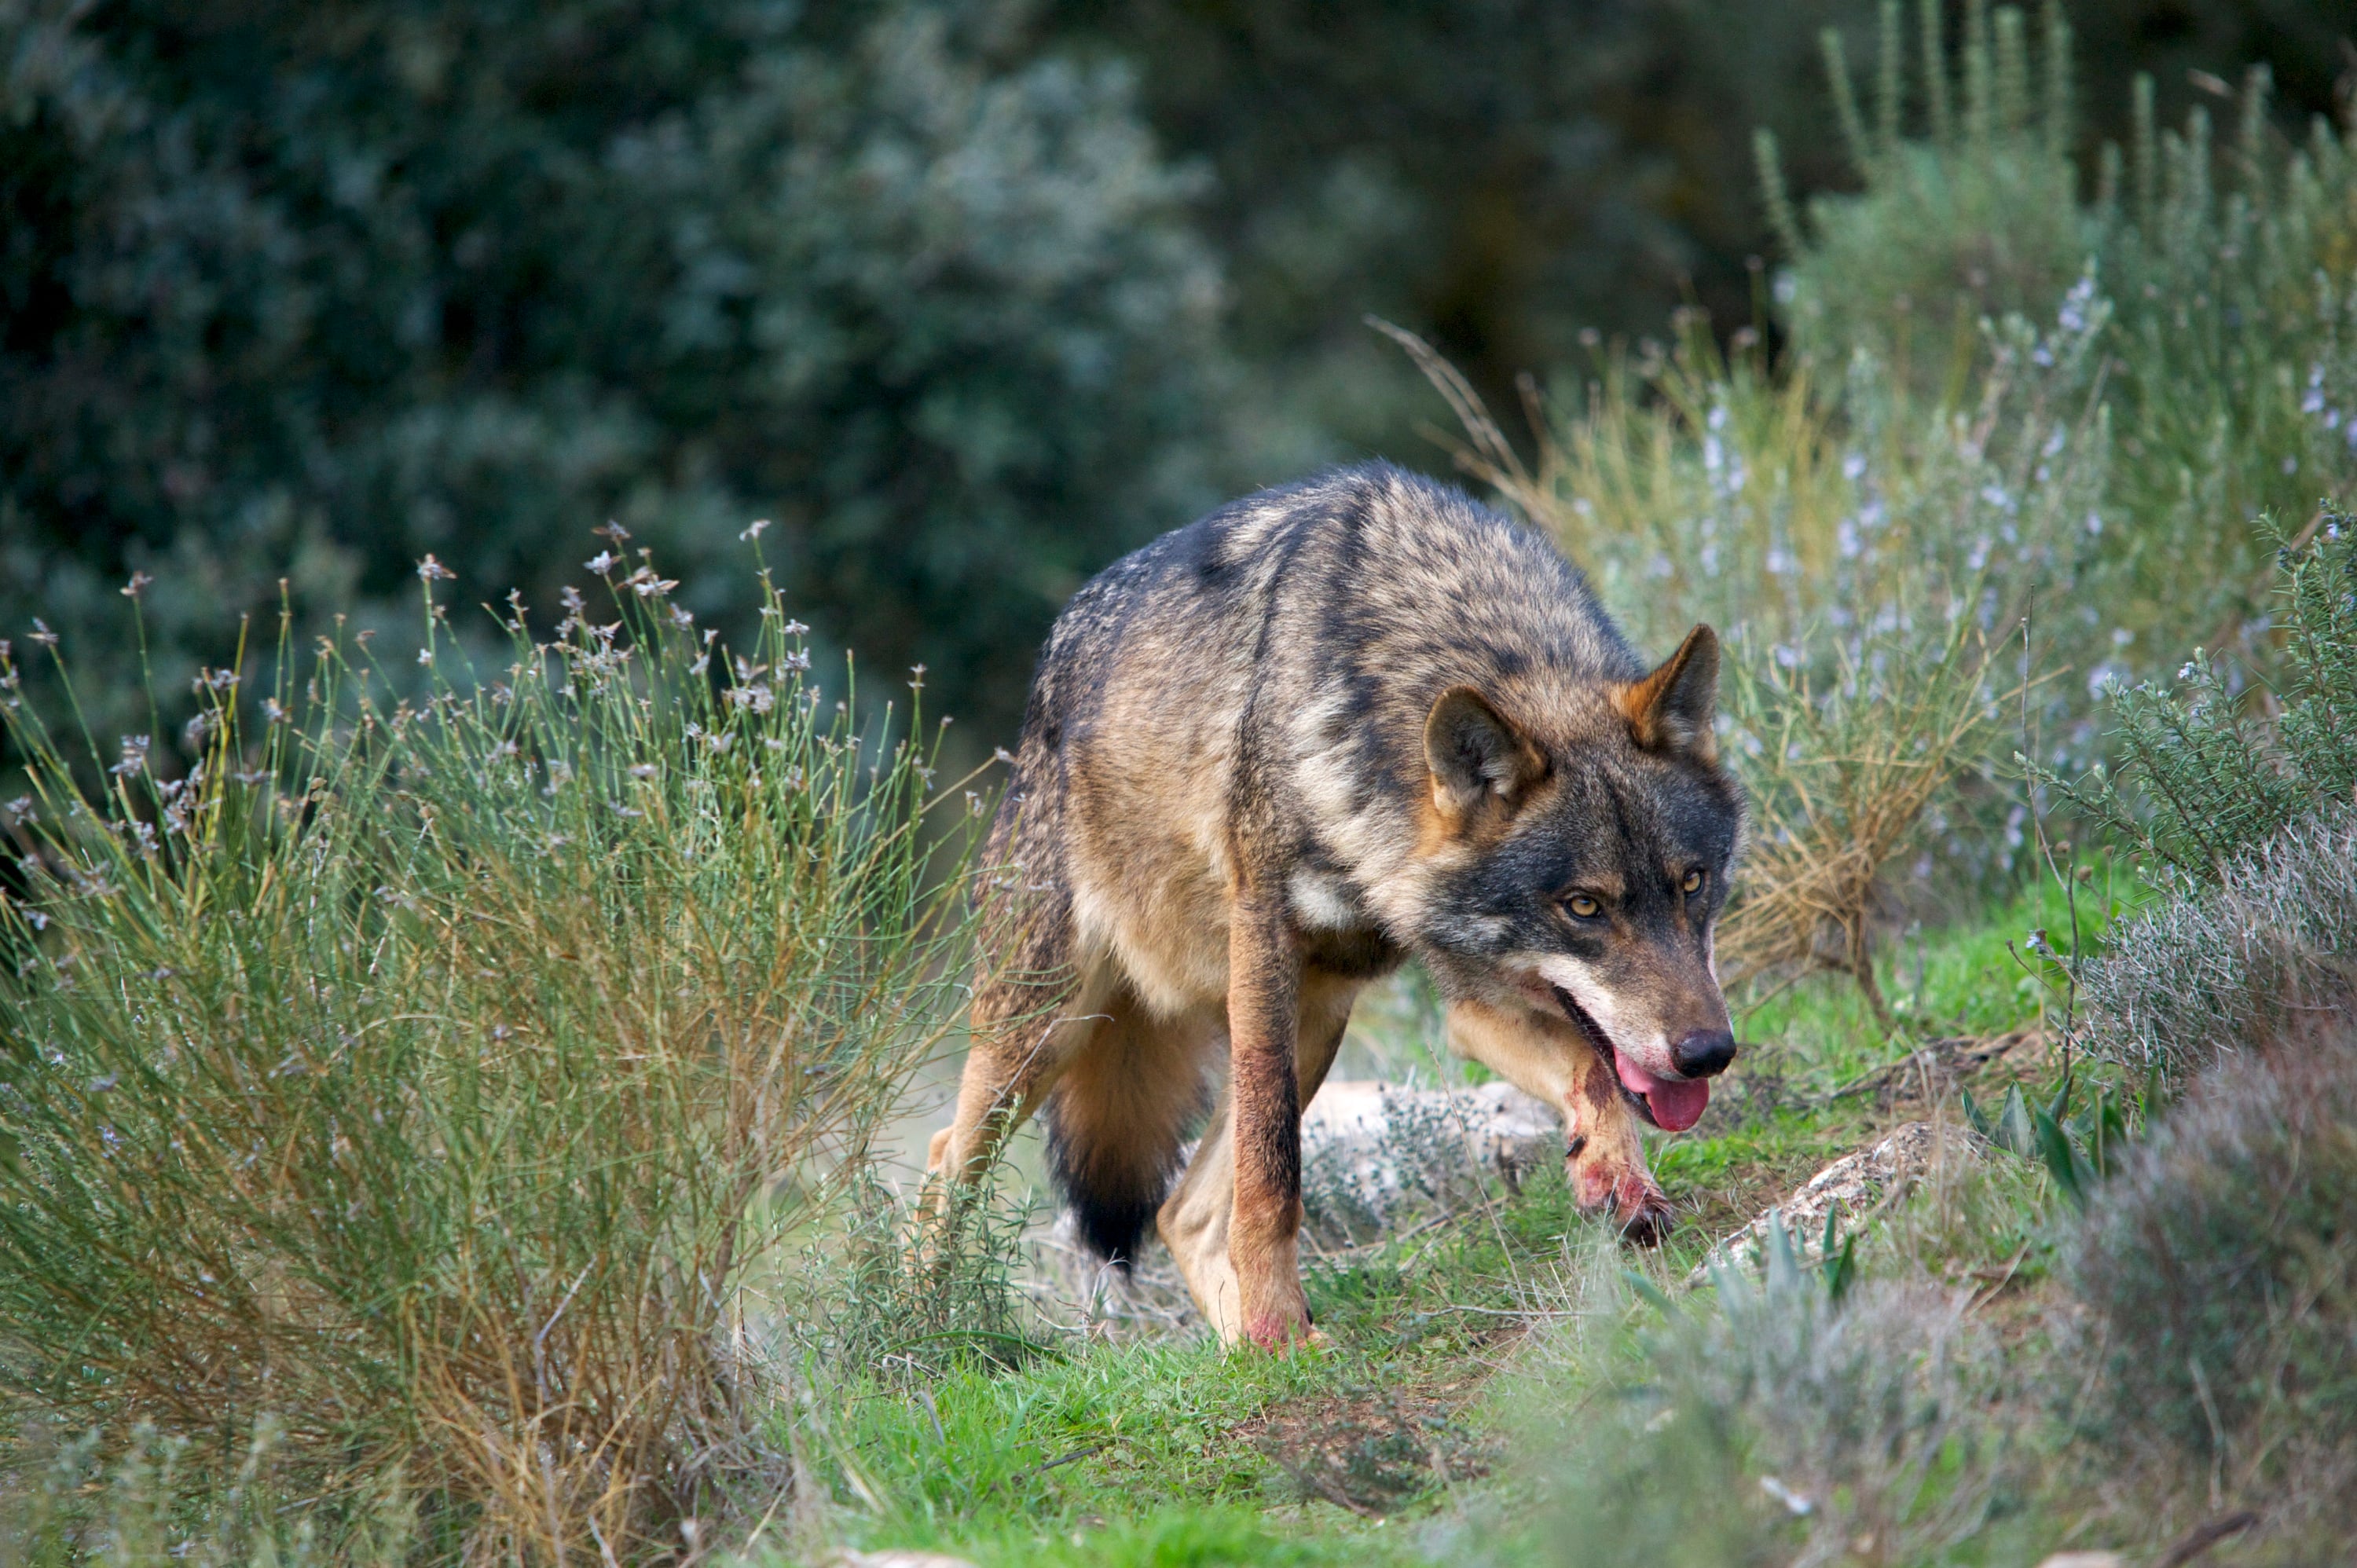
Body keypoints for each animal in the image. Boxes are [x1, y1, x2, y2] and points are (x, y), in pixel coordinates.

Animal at [929, 455, 1744, 1348]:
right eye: (1585, 907)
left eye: (1693, 883)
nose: (1709, 1053)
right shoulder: (1264, 942)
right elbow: (1272, 1174)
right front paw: (1277, 1319)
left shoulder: (1473, 996)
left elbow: (1592, 1072)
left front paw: (1617, 1181)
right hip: (1049, 1030)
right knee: (944, 1162)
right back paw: (925, 1328)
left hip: (1316, 1019)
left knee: (1182, 1213)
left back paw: (1254, 1353)